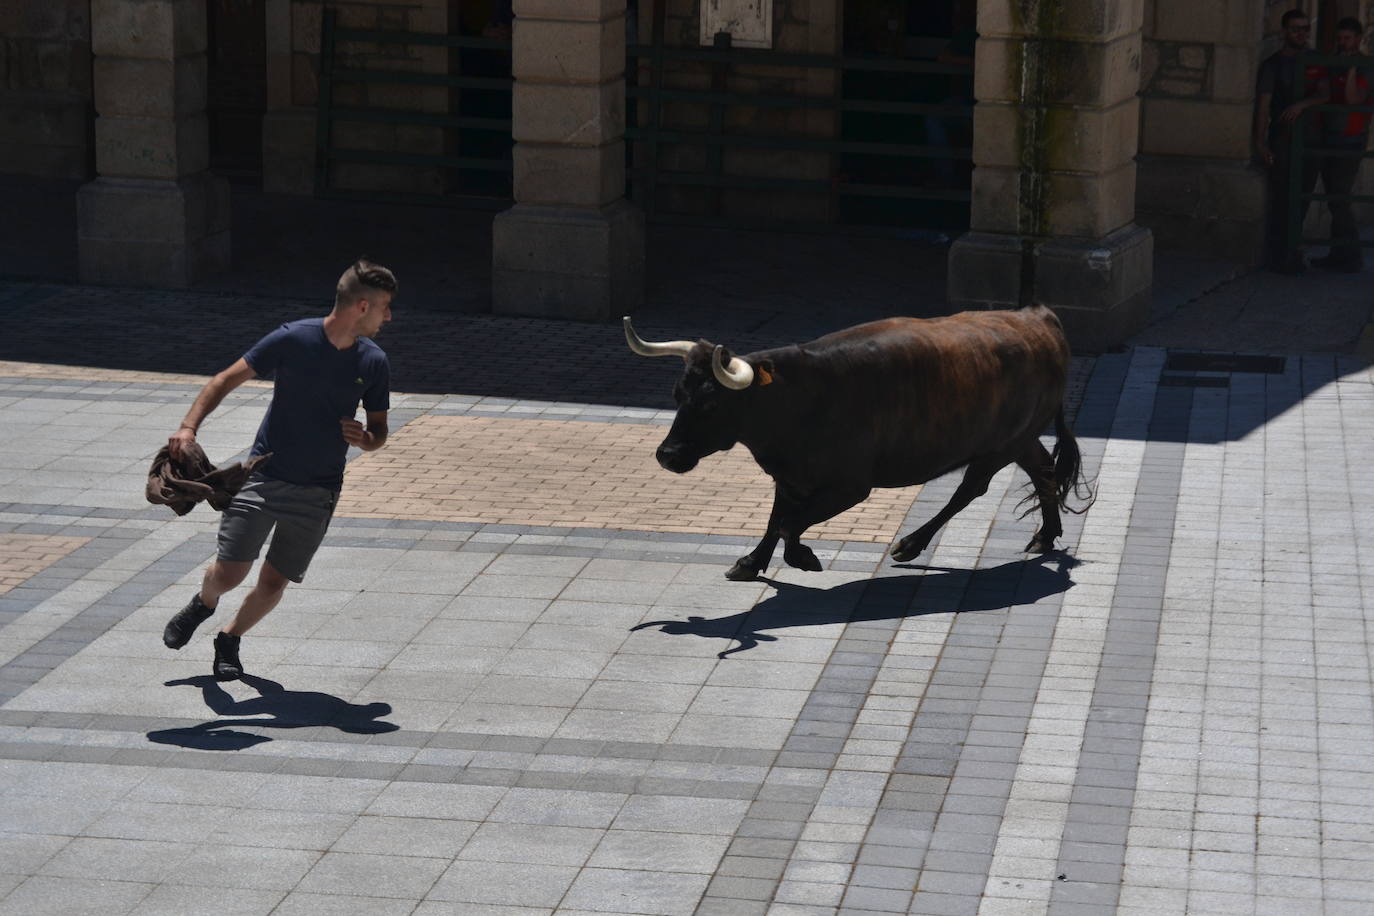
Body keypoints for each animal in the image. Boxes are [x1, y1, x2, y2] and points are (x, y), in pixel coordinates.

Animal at [626, 307, 1093, 579]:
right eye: (677, 394)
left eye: (710, 403)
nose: (666, 455)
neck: (798, 397)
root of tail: (1036, 315)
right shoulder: (789, 475)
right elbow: (777, 518)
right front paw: (751, 563)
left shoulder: (850, 485)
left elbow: (789, 523)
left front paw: (801, 557)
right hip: (1020, 437)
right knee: (1043, 469)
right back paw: (1045, 536)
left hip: (999, 446)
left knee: (970, 489)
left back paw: (910, 544)